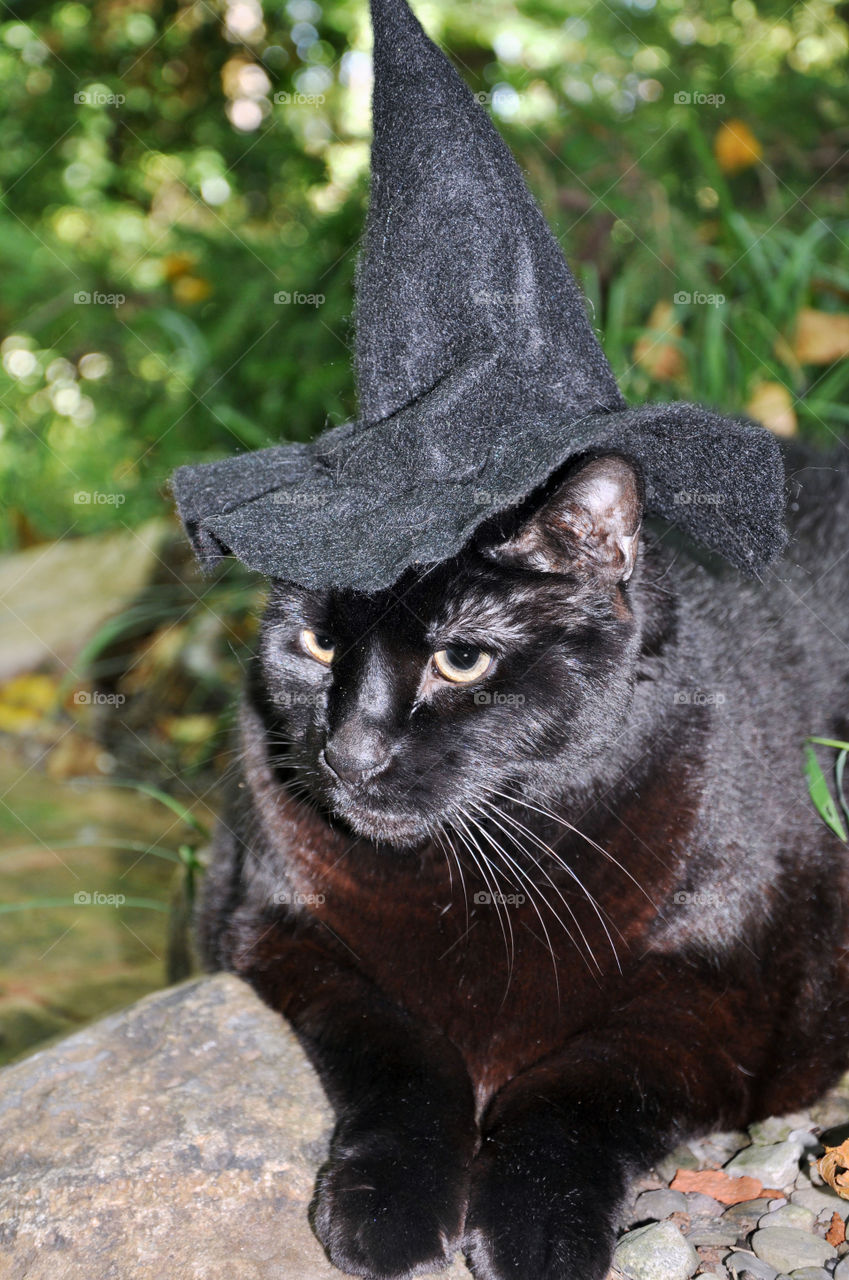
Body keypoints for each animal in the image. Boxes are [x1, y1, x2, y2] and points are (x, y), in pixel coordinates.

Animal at [201, 442, 849, 1280]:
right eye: (319, 644)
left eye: (461, 660)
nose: (348, 755)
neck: (474, 882)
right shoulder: (276, 931)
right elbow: (401, 1048)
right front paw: (390, 1207)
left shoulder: (726, 1000)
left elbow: (582, 1081)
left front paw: (537, 1227)